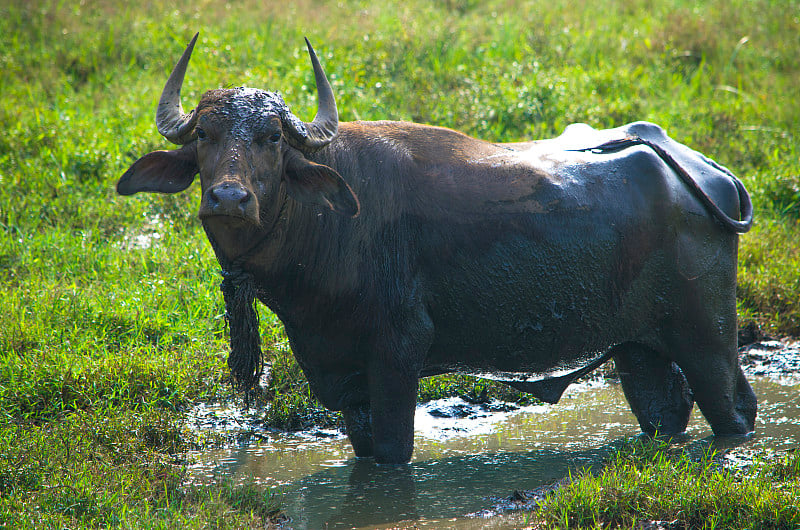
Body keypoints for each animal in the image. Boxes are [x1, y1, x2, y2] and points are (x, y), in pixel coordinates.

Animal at [117, 34, 756, 462]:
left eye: (272, 138)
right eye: (205, 134)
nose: (228, 197)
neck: (326, 231)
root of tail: (699, 168)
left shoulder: (398, 356)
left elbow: (394, 455)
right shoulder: (346, 378)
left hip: (707, 336)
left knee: (735, 408)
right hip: (639, 347)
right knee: (665, 411)